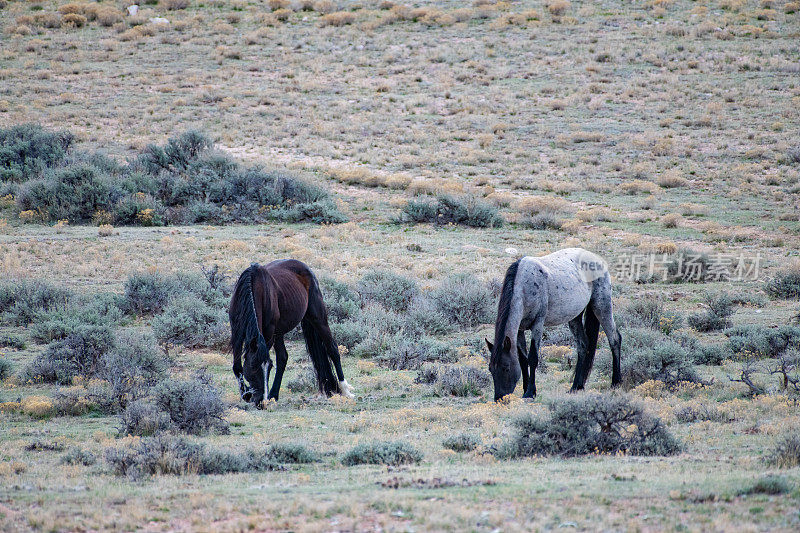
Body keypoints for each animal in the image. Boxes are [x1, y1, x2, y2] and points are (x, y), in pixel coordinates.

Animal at [228, 260, 354, 406]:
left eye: (269, 368)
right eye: (253, 367)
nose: (262, 402)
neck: (253, 287)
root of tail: (305, 267)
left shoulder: (269, 332)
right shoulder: (236, 331)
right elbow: (237, 366)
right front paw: (245, 393)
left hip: (317, 317)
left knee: (332, 349)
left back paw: (345, 390)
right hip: (279, 331)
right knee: (283, 357)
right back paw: (274, 394)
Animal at [484, 248, 620, 400]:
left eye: (506, 367)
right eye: (490, 369)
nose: (499, 398)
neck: (524, 287)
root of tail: (597, 258)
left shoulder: (538, 324)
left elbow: (533, 358)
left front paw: (530, 392)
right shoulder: (520, 329)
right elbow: (523, 360)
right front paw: (525, 389)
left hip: (601, 306)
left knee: (614, 339)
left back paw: (616, 382)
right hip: (575, 318)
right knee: (583, 345)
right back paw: (576, 387)